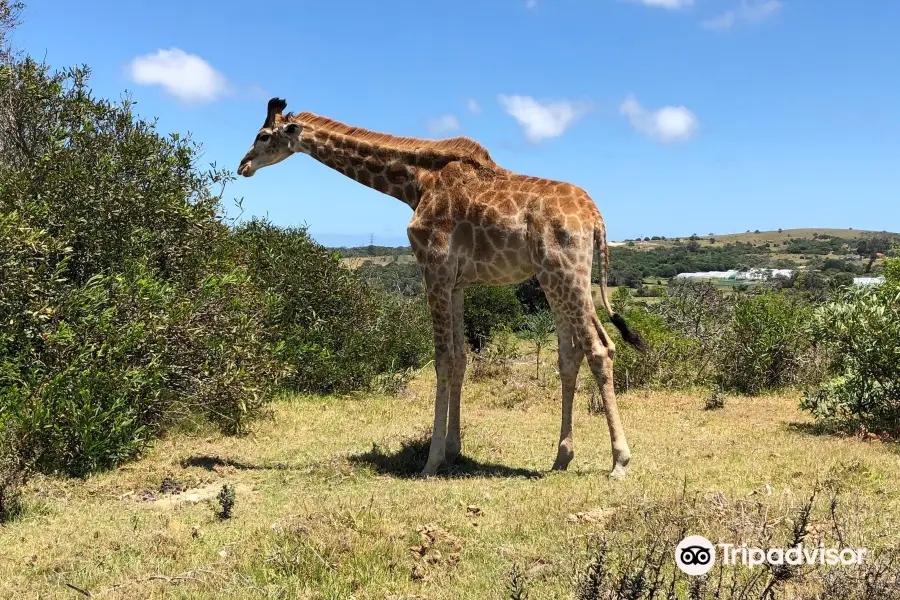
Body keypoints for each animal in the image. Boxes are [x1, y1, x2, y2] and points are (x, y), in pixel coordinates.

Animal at [239, 101, 648, 480]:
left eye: (263, 136)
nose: (243, 165)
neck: (414, 183)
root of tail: (596, 218)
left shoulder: (432, 266)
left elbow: (442, 359)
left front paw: (432, 461)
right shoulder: (457, 282)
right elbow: (460, 359)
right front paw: (453, 449)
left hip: (565, 272)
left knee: (599, 348)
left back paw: (620, 461)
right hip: (553, 279)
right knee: (569, 353)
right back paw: (561, 458)